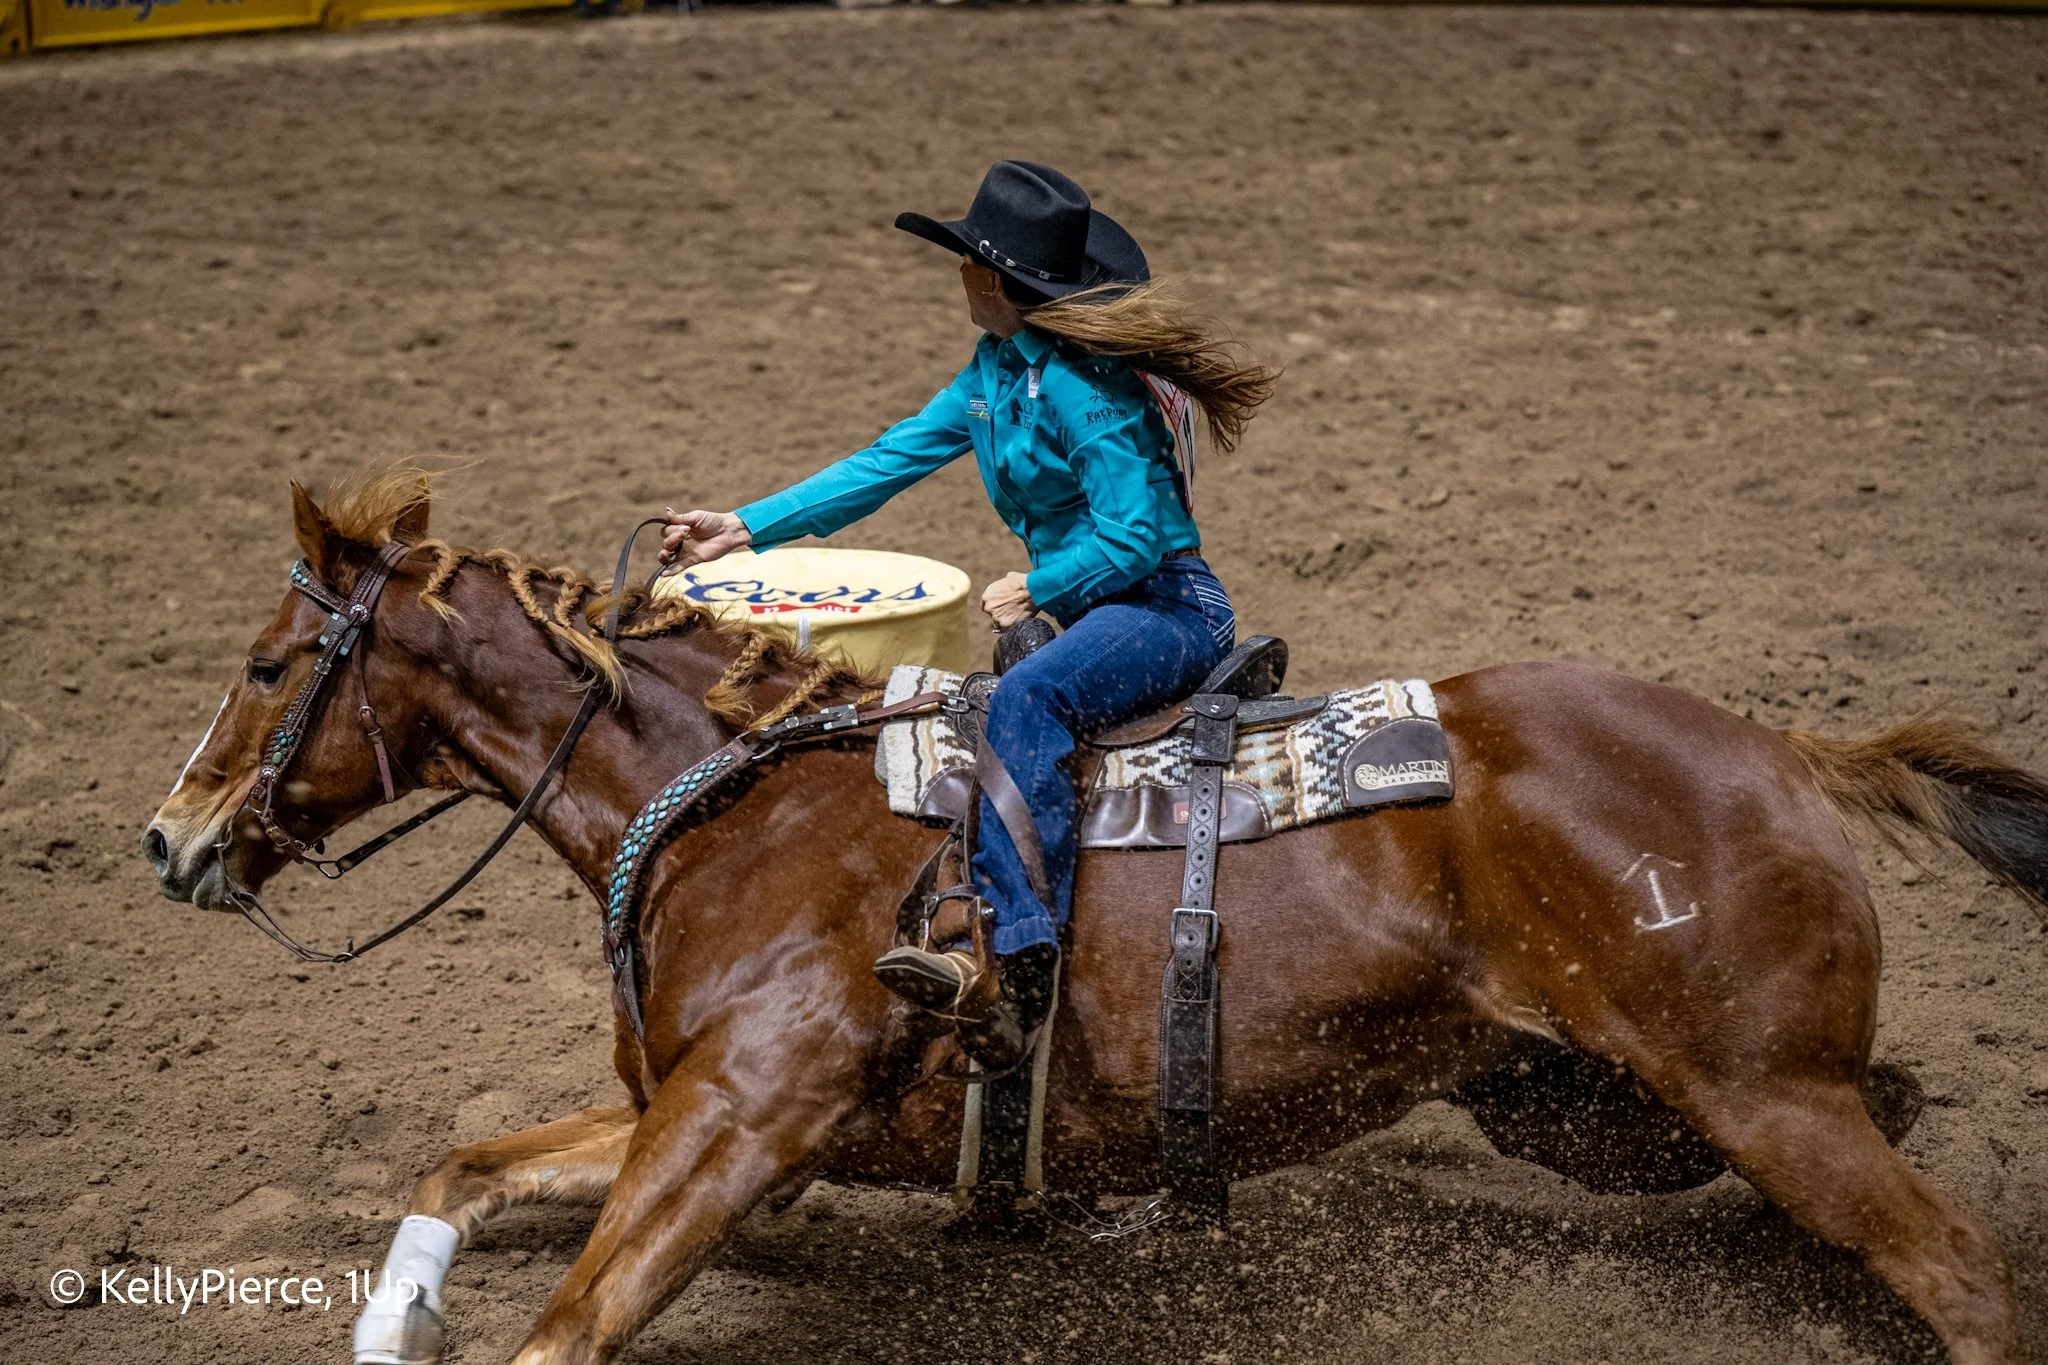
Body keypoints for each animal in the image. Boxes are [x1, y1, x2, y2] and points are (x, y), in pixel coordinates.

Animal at [141, 468, 2047, 1365]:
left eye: (266, 665)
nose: (169, 838)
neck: (738, 802)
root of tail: (1783, 745)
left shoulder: (739, 1119)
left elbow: (571, 1325)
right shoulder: (681, 1112)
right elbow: (459, 1164)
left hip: (1761, 1097)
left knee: (1959, 1272)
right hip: (1602, 1105)